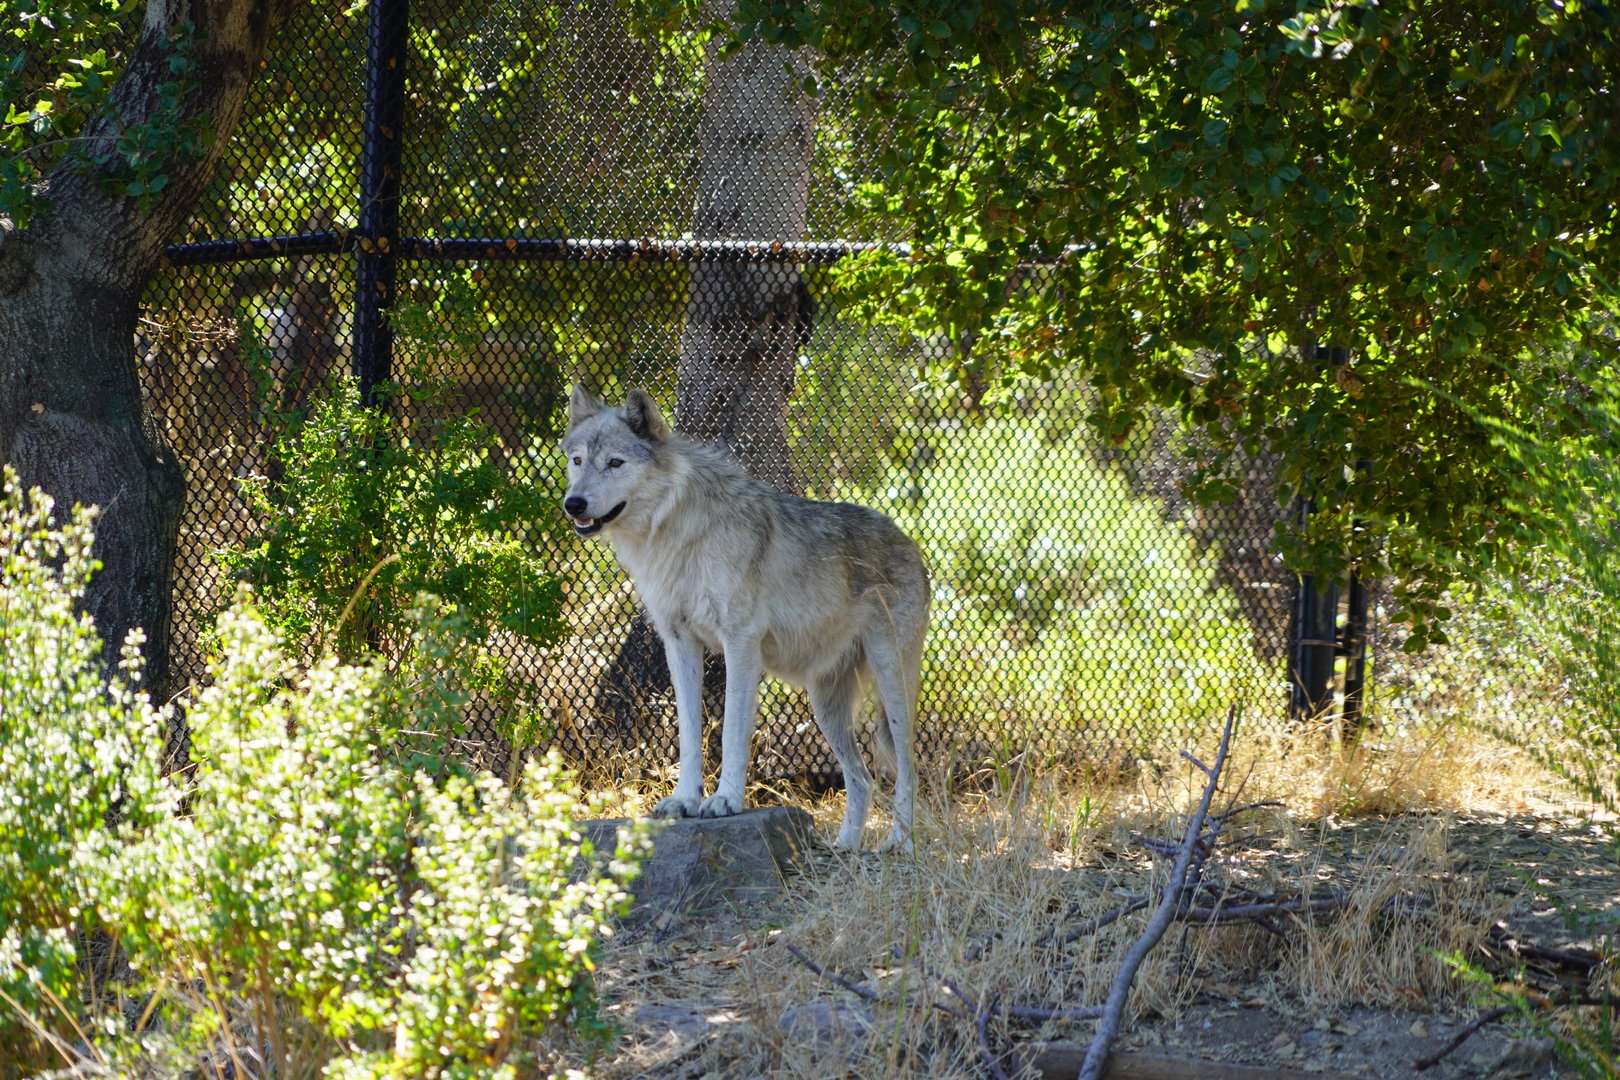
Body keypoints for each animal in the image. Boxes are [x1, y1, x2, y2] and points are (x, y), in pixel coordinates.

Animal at [562, 386, 929, 851]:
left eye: (615, 462)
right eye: (577, 461)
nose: (573, 503)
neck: (677, 532)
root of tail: (909, 541)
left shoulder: (740, 643)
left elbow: (731, 732)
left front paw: (725, 801)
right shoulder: (679, 644)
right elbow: (688, 733)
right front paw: (684, 800)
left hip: (891, 683)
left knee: (907, 771)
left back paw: (901, 845)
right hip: (825, 703)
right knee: (860, 778)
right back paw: (844, 846)